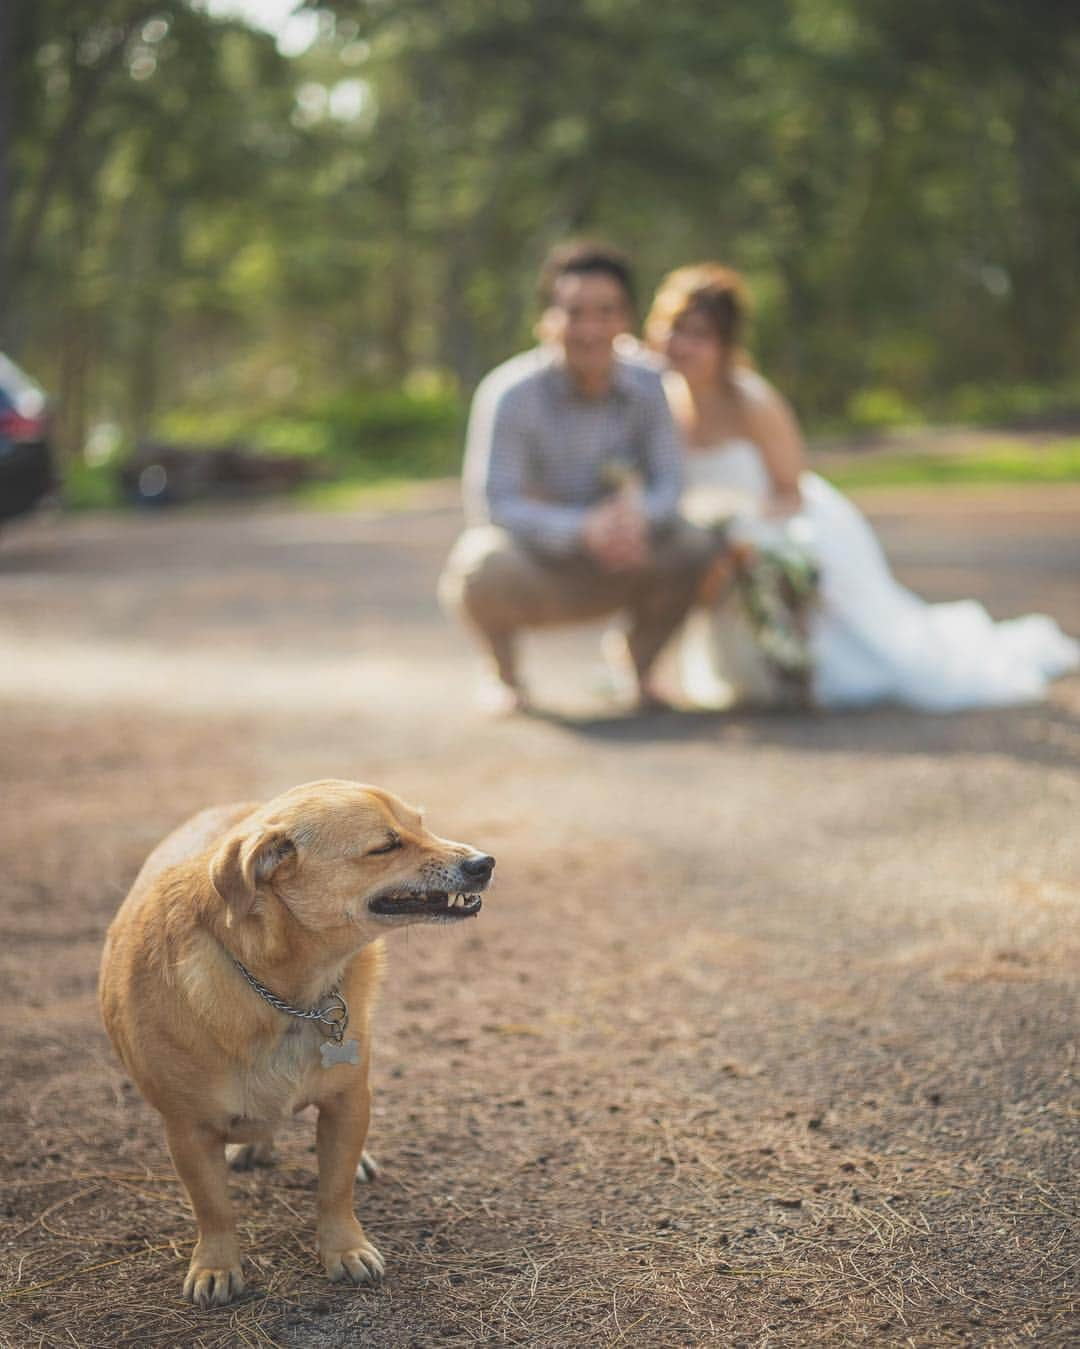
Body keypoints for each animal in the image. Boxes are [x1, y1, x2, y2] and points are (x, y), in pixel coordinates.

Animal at [97, 782, 493, 1305]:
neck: (289, 994)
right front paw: (216, 1265)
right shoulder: (187, 1130)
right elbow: (212, 1207)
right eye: (385, 847)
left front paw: (344, 1249)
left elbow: (334, 1190)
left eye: (421, 825)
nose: (485, 862)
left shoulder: (347, 1101)